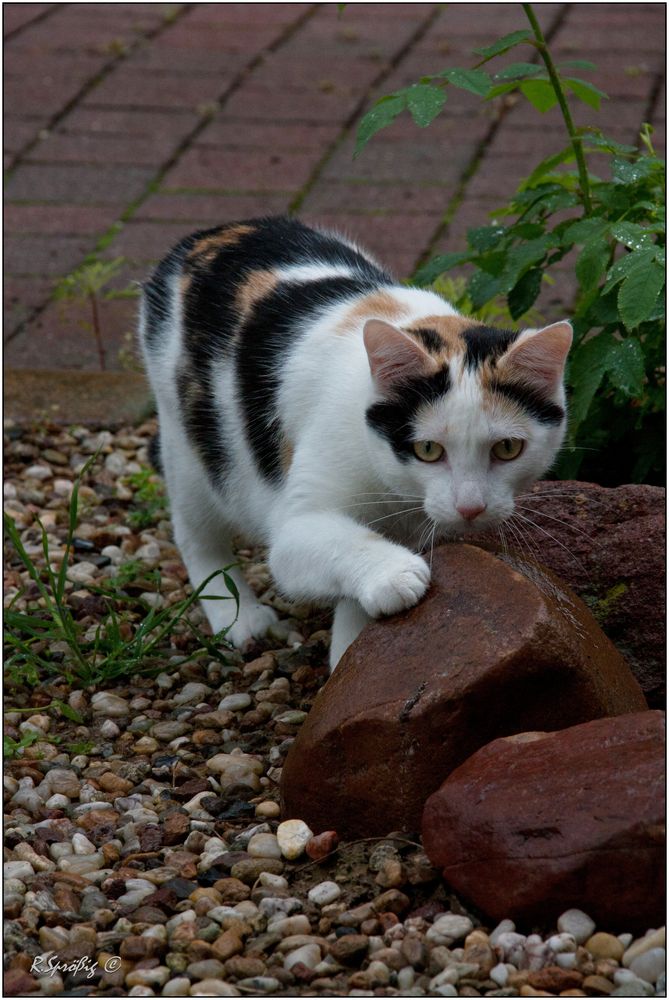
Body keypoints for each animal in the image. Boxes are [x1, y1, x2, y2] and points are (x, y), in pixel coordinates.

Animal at [138, 219, 572, 672]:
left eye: (507, 449)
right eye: (428, 450)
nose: (470, 507)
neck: (397, 495)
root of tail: (207, 234)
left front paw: (349, 655)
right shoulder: (296, 524)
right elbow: (331, 541)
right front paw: (393, 575)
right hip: (190, 449)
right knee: (194, 532)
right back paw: (238, 616)